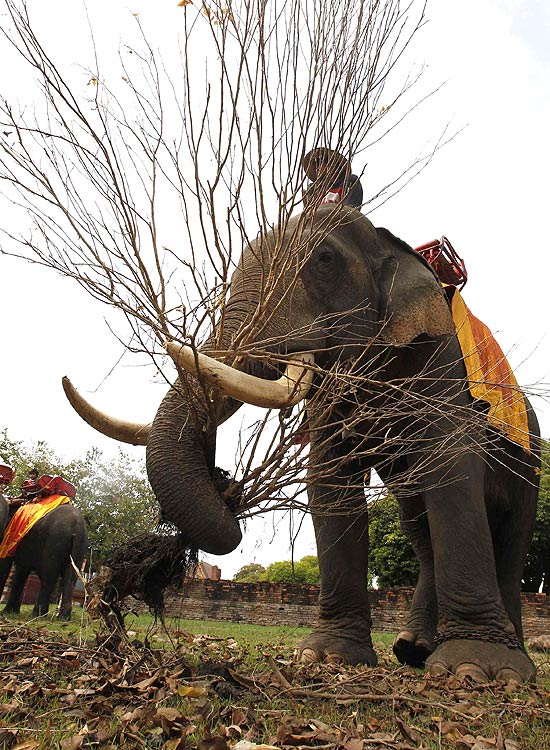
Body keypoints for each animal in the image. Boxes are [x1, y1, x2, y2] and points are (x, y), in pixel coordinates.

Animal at [64, 203, 544, 684]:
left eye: (324, 260)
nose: (227, 493)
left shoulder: (441, 360)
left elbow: (451, 462)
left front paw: (475, 669)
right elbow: (329, 480)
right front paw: (327, 657)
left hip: (532, 457)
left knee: (513, 537)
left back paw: (512, 663)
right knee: (417, 525)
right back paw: (413, 650)